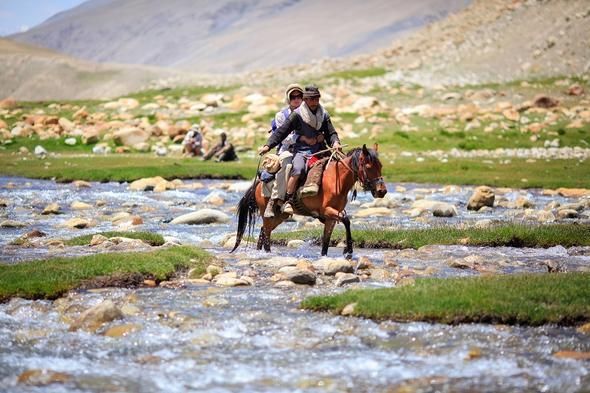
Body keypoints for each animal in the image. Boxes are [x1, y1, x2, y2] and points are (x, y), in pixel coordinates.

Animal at [231, 144, 388, 258]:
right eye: (368, 167)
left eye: (380, 166)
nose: (382, 191)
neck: (336, 181)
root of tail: (258, 183)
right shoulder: (328, 211)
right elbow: (346, 220)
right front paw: (348, 250)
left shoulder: (331, 217)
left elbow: (326, 240)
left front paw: (326, 256)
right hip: (267, 212)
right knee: (266, 232)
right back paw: (267, 253)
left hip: (280, 215)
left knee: (264, 231)